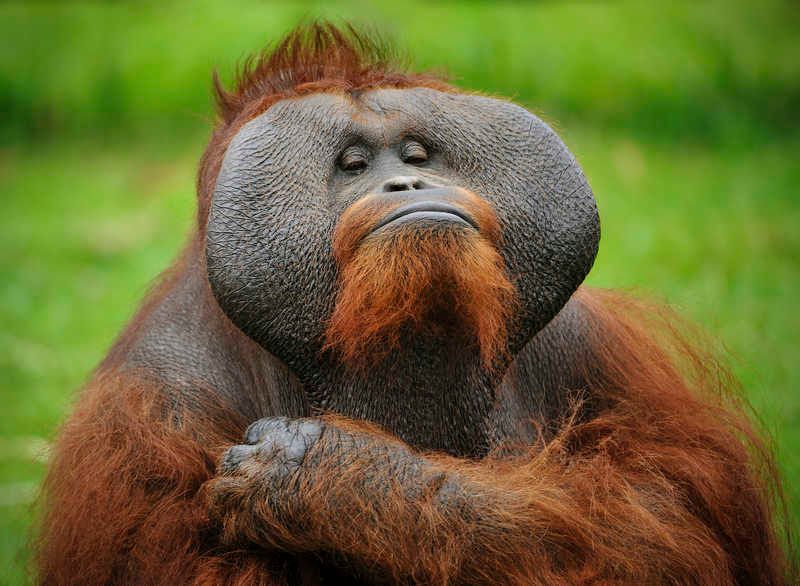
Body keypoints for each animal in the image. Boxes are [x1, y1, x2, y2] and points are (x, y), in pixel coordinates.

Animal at [35, 23, 790, 585]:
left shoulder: (596, 350)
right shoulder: (149, 417)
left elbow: (674, 525)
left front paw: (340, 480)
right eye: (351, 164)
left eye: (418, 152)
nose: (407, 181)